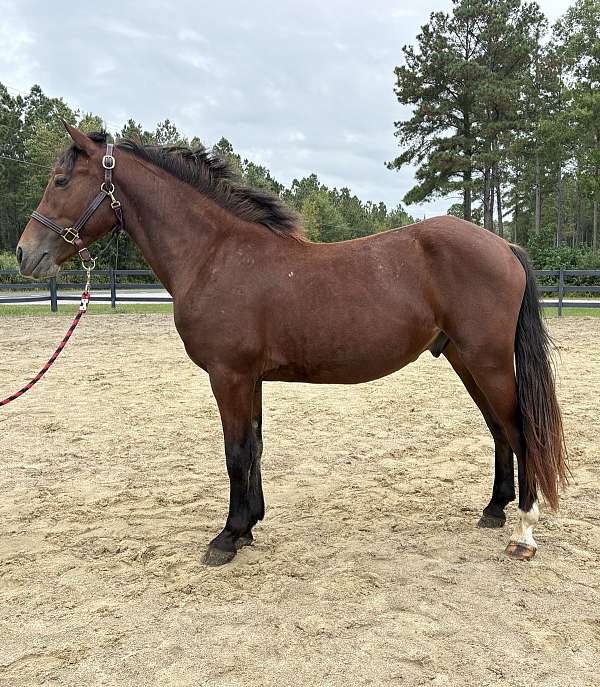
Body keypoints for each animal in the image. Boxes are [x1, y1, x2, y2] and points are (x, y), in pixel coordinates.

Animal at [16, 124, 567, 566]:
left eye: (61, 181)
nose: (24, 253)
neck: (215, 255)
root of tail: (503, 245)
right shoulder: (249, 378)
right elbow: (254, 447)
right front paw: (249, 525)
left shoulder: (229, 376)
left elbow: (236, 451)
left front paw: (227, 537)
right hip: (463, 357)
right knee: (498, 429)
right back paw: (494, 510)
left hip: (487, 360)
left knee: (520, 431)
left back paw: (523, 533)